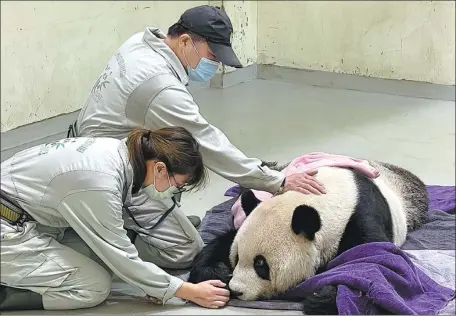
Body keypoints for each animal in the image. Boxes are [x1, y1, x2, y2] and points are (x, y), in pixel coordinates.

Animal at [188, 160, 428, 314]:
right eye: (237, 258)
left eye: (260, 265)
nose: (237, 290)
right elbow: (224, 240)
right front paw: (216, 272)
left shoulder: (361, 217)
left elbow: (376, 263)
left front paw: (321, 296)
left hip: (413, 202)